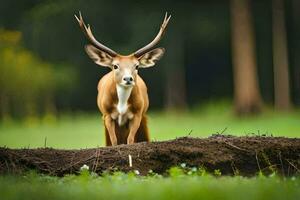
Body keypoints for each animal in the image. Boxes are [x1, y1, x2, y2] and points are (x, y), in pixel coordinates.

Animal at [74, 12, 170, 147]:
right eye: (115, 66)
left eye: (137, 66)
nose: (128, 78)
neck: (122, 105)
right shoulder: (107, 114)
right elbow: (114, 141)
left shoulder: (137, 114)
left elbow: (130, 140)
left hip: (142, 116)